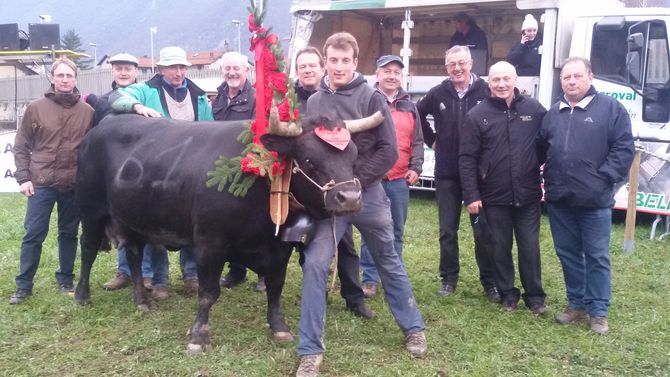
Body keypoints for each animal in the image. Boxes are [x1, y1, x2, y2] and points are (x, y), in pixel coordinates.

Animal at [75, 111, 380, 350]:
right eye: (307, 160)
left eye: (353, 158)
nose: (350, 198)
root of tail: (103, 125)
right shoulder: (209, 243)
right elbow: (209, 292)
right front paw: (198, 335)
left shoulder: (280, 247)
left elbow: (275, 287)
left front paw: (279, 326)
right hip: (90, 209)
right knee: (88, 251)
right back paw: (81, 295)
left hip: (133, 218)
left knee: (135, 256)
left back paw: (141, 300)